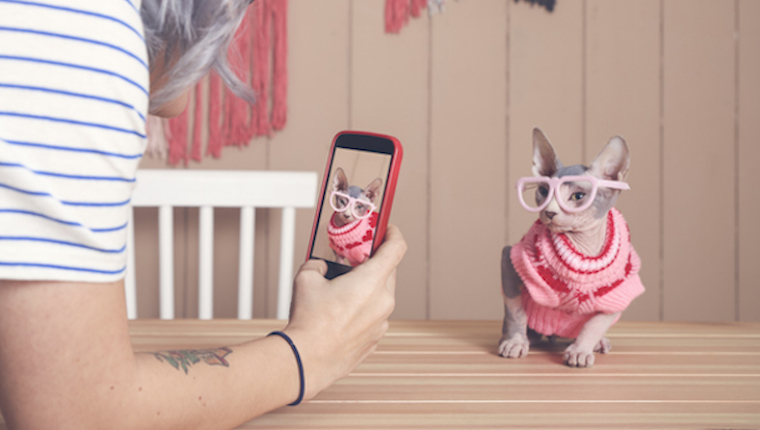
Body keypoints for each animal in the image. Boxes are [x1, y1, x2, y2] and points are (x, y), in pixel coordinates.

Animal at [498, 127, 648, 366]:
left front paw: (581, 350)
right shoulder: (510, 259)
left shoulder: (622, 291)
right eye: (543, 191)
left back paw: (598, 343)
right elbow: (516, 312)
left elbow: (594, 324)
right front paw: (515, 342)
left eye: (578, 196)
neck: (583, 247)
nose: (549, 212)